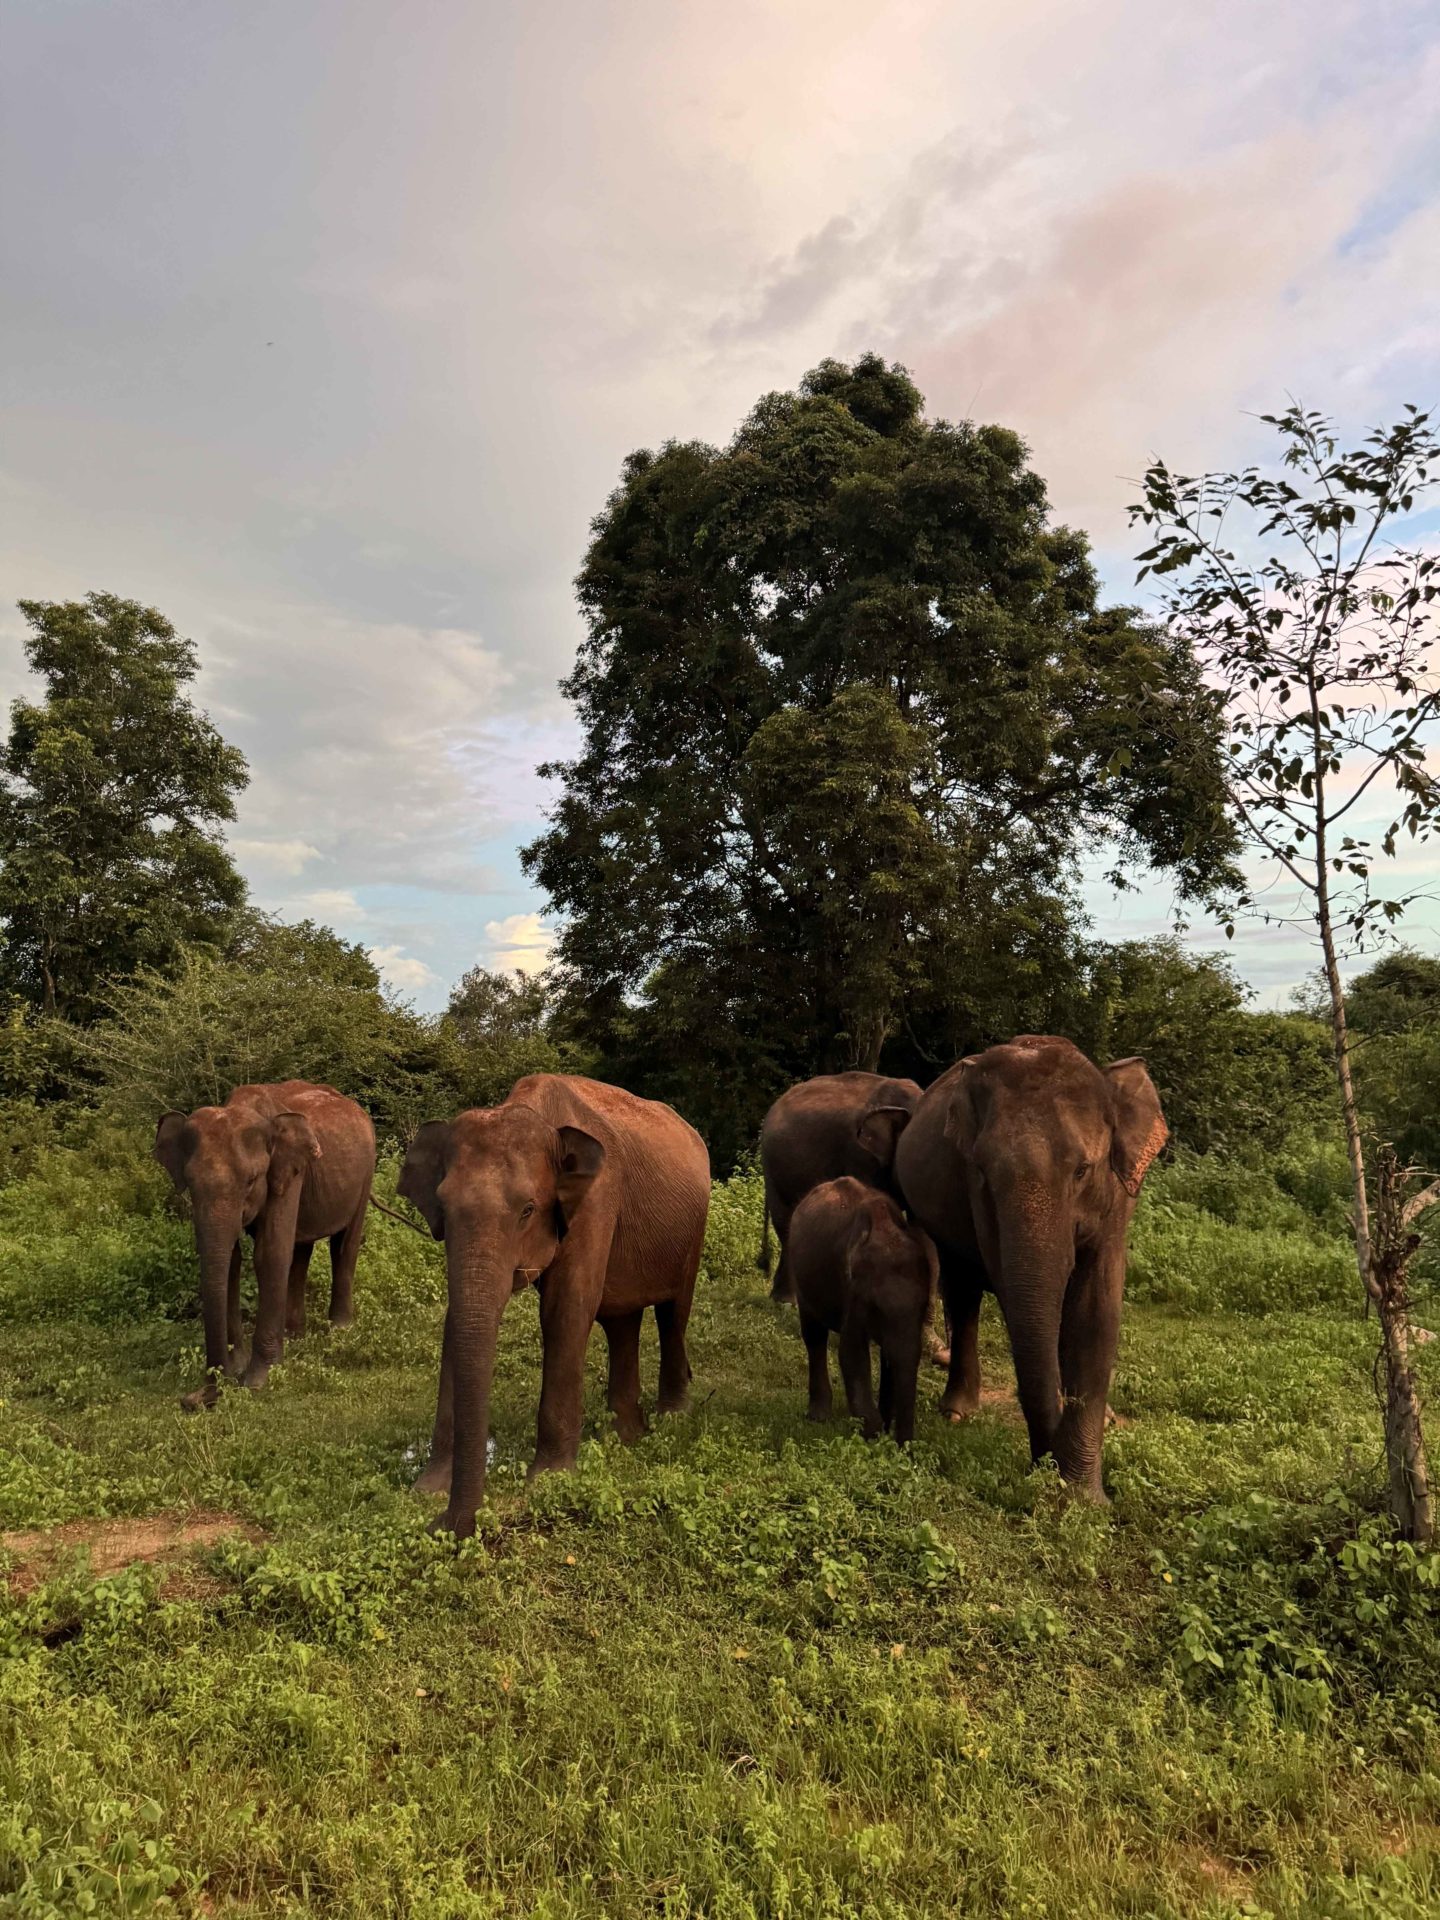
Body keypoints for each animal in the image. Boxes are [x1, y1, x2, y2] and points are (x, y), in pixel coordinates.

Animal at [155, 1082, 378, 1413]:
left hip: (365, 1174)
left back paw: (339, 1331)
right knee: (301, 1250)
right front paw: (239, 1366)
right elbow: (232, 1260)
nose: (196, 1398)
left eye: (251, 1180)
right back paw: (295, 1337)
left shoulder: (288, 1172)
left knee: (344, 1243)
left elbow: (270, 1253)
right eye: (190, 1183)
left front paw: (256, 1382)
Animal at [397, 1082, 714, 1543]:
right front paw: (427, 1489)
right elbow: (456, 1320)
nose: (443, 1526)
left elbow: (566, 1309)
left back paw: (670, 1421)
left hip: (693, 1228)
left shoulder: (598, 1198)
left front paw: (548, 1479)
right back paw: (625, 1436)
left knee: (673, 1312)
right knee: (622, 1320)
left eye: (528, 1210)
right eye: (443, 1207)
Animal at [791, 1175, 936, 1443]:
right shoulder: (851, 1291)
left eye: (923, 1308)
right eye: (876, 1307)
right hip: (801, 1276)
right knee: (814, 1335)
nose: (904, 1447)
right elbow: (851, 1352)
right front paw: (873, 1434)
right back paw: (818, 1415)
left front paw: (884, 1427)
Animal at [902, 1036, 1175, 1497]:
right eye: (983, 1171)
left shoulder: (1119, 1199)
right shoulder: (976, 1196)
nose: (1046, 1467)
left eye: (1082, 1170)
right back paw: (957, 1411)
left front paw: (1084, 1495)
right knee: (963, 1291)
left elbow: (1095, 1312)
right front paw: (1069, 1484)